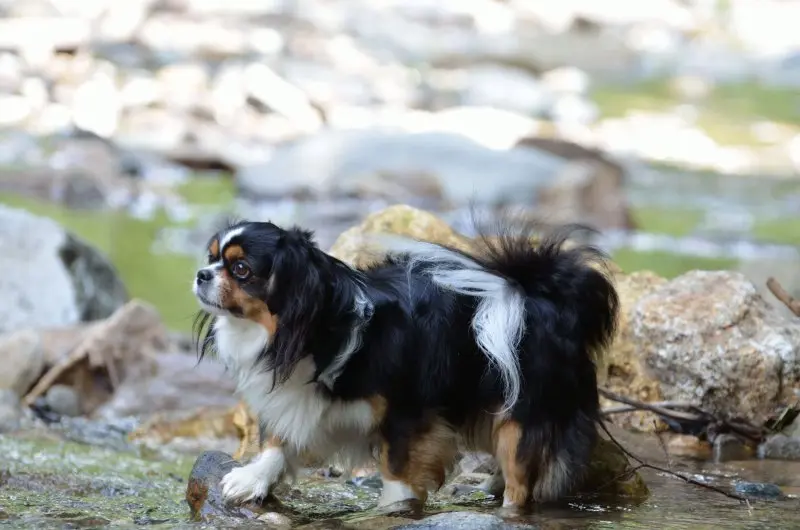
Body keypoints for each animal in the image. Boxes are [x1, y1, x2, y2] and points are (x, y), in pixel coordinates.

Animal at [192, 214, 620, 508]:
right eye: (211, 258)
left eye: (241, 269)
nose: (200, 274)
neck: (311, 331)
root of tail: (537, 294)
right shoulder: (295, 398)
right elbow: (277, 441)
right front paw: (251, 478)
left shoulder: (406, 415)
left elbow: (396, 470)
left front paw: (393, 509)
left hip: (522, 416)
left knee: (520, 483)